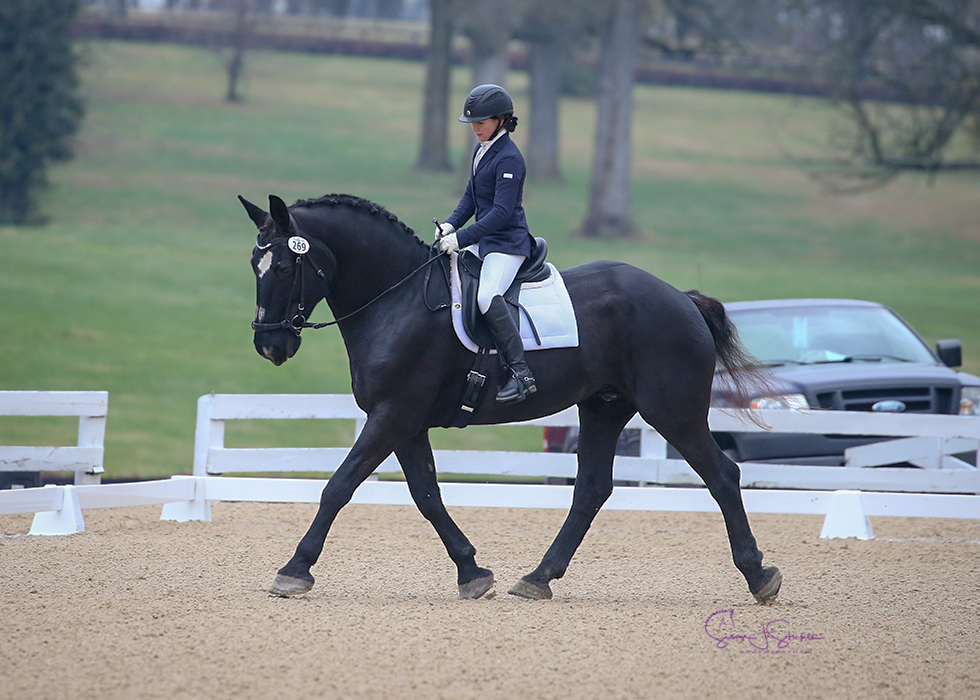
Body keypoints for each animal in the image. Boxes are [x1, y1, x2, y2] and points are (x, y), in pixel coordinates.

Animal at [237, 194, 780, 604]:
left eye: (283, 266)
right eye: (253, 266)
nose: (270, 346)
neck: (398, 299)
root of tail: (681, 298)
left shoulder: (393, 415)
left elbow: (339, 486)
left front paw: (294, 569)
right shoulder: (405, 422)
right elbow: (427, 495)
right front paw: (472, 573)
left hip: (672, 411)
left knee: (722, 475)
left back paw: (759, 576)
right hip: (604, 407)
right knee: (591, 490)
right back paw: (538, 579)